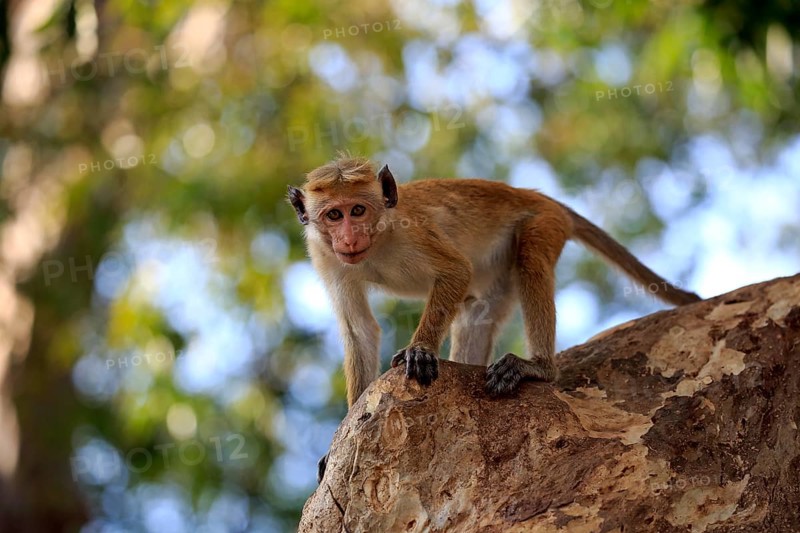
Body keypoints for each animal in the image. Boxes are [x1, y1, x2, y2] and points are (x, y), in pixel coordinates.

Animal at [288, 156, 701, 480]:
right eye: (334, 215)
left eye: (358, 210)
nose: (348, 237)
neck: (377, 241)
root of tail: (534, 193)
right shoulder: (326, 256)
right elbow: (359, 330)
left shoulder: (413, 232)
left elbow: (455, 271)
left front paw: (419, 349)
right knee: (478, 310)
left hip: (544, 221)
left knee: (531, 261)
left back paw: (539, 367)